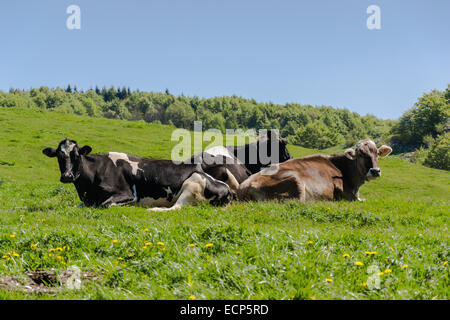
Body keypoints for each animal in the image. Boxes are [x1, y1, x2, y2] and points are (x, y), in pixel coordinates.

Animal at [42, 139, 234, 211]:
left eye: (76, 155)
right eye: (59, 156)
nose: (67, 176)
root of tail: (227, 189)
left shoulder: (127, 194)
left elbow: (106, 204)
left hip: (192, 184)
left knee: (175, 208)